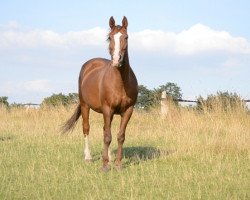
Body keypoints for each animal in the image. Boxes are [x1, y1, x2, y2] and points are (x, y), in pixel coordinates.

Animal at [61, 16, 138, 171]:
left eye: (126, 37)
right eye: (109, 37)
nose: (117, 60)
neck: (120, 82)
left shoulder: (128, 110)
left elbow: (120, 136)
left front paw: (117, 164)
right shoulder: (107, 109)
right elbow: (107, 137)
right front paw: (104, 166)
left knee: (105, 130)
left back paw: (109, 157)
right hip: (85, 105)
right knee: (86, 128)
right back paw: (88, 157)